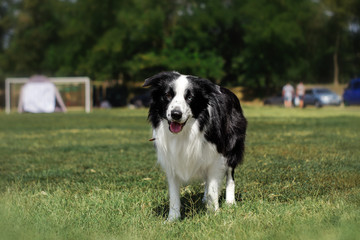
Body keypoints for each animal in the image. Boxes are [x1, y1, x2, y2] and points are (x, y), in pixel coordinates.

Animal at [143, 71, 248, 221]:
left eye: (190, 97)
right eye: (168, 95)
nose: (176, 114)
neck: (186, 132)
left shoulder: (217, 157)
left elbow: (213, 189)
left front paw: (213, 213)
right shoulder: (171, 159)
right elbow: (174, 194)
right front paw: (172, 219)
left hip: (232, 147)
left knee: (230, 176)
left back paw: (230, 201)